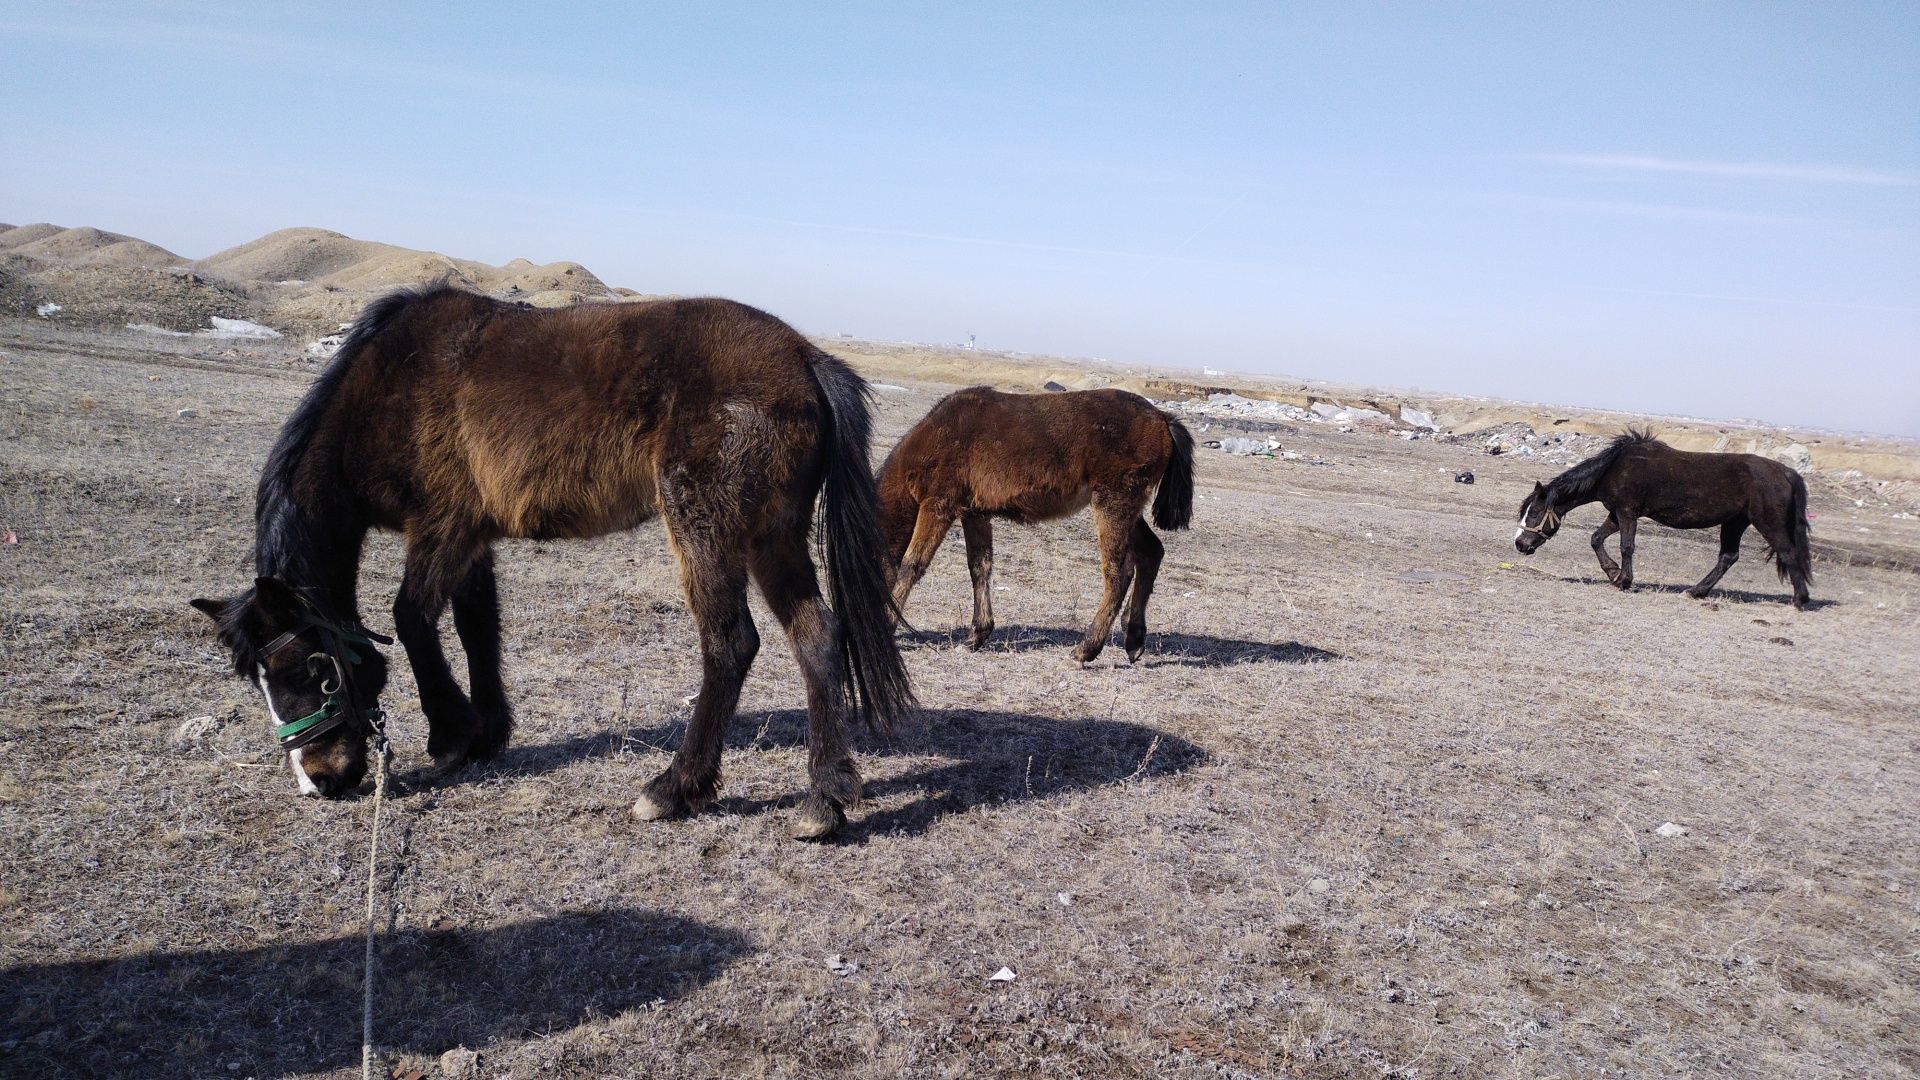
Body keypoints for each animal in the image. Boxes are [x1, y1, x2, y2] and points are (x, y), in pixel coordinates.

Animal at [191, 282, 910, 837]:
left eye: (307, 669)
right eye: (255, 679)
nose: (319, 781)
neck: (388, 389)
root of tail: (806, 358)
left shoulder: (441, 528)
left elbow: (413, 619)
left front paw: (449, 735)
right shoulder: (471, 539)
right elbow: (477, 628)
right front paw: (487, 733)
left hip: (708, 531)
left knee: (731, 644)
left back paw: (674, 788)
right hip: (772, 537)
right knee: (816, 634)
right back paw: (824, 798)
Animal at [879, 384, 1190, 657]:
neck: (936, 436)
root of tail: (1163, 419)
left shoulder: (938, 505)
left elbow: (911, 565)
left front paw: (890, 626)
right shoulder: (974, 513)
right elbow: (980, 567)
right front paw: (976, 636)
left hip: (1113, 503)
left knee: (1118, 574)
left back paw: (1085, 650)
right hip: (1129, 510)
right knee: (1151, 553)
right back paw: (1134, 640)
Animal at [1512, 426, 1812, 607]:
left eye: (1534, 512)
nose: (1519, 544)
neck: (1614, 468)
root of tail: (1787, 472)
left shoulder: (1627, 512)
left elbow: (1626, 546)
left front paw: (1624, 581)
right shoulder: (1616, 513)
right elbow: (1596, 539)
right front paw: (1613, 573)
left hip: (1767, 523)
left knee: (1788, 553)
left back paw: (1800, 600)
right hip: (1735, 522)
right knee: (1728, 557)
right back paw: (1696, 591)